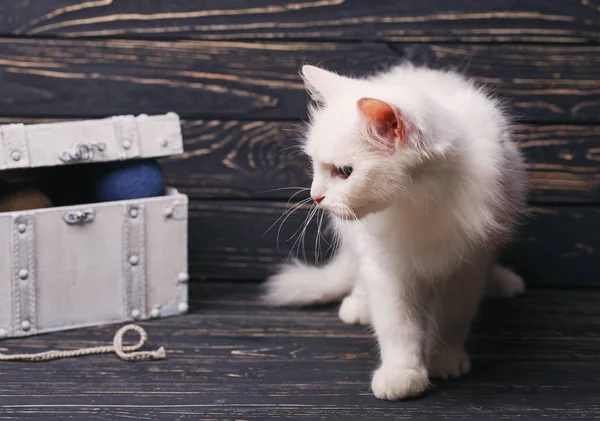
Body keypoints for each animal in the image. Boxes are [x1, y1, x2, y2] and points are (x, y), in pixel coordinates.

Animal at [262, 64, 524, 398]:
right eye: (315, 165)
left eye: (344, 172)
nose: (315, 195)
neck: (420, 200)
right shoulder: (387, 268)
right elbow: (398, 326)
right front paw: (403, 375)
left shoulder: (468, 266)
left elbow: (453, 318)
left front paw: (444, 358)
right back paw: (359, 306)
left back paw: (502, 282)